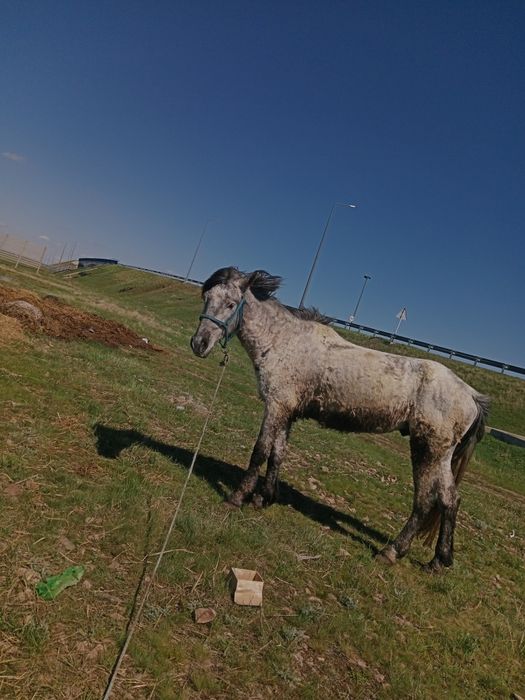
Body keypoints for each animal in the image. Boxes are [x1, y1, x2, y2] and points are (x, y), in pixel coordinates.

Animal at [190, 267, 489, 571]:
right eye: (207, 297)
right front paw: (264, 498)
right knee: (449, 500)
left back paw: (392, 551)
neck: (283, 341)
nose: (199, 344)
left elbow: (260, 451)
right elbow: (278, 453)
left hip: (428, 450)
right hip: (438, 455)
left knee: (427, 501)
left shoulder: (275, 407)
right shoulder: (286, 412)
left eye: (230, 304)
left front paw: (237, 498)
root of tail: (471, 396)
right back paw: (439, 561)